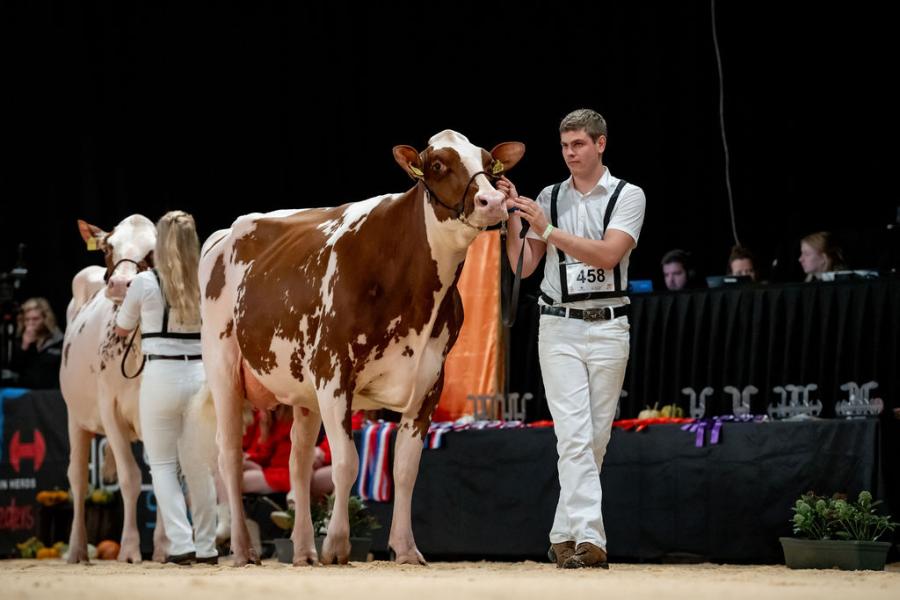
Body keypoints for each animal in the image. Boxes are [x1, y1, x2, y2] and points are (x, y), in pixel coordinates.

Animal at [197, 129, 520, 564]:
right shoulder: (333, 370)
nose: (493, 202)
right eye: (437, 165)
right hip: (223, 367)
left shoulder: (430, 379)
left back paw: (303, 550)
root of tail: (225, 232)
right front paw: (336, 545)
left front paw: (406, 548)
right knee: (228, 456)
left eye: (488, 163)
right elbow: (347, 463)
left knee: (298, 460)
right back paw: (244, 549)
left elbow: (406, 469)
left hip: (302, 390)